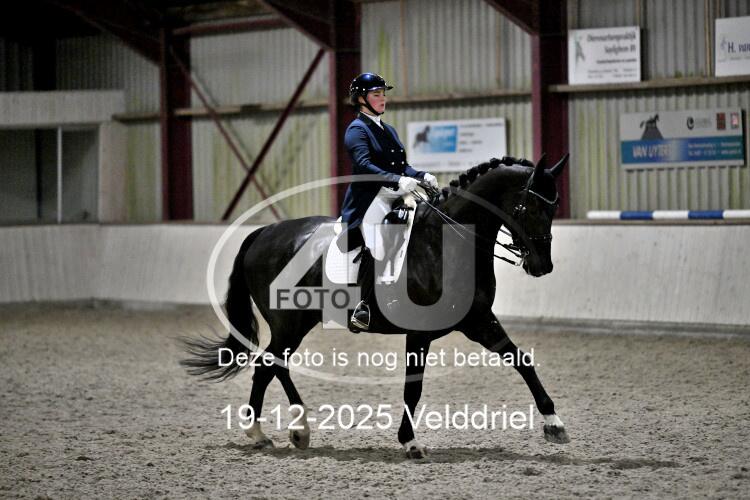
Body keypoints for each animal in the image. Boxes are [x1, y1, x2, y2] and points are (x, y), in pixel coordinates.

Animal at [181, 154, 571, 458]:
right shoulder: (420, 332)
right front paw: (410, 443)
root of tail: (263, 232)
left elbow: (522, 361)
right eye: (531, 205)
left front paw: (554, 424)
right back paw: (278, 431)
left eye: (554, 206)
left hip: (297, 323)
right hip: (288, 323)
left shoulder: (478, 321)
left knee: (271, 366)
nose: (543, 265)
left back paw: (282, 433)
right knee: (270, 364)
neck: (446, 243)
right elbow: (413, 388)